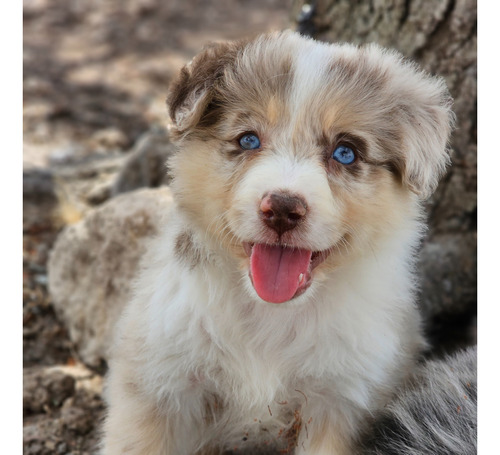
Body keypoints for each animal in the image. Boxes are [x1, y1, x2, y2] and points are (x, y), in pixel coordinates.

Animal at [101, 30, 454, 454]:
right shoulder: (158, 385)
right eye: (248, 139)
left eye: (345, 152)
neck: (271, 318)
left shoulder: (342, 403)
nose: (283, 209)